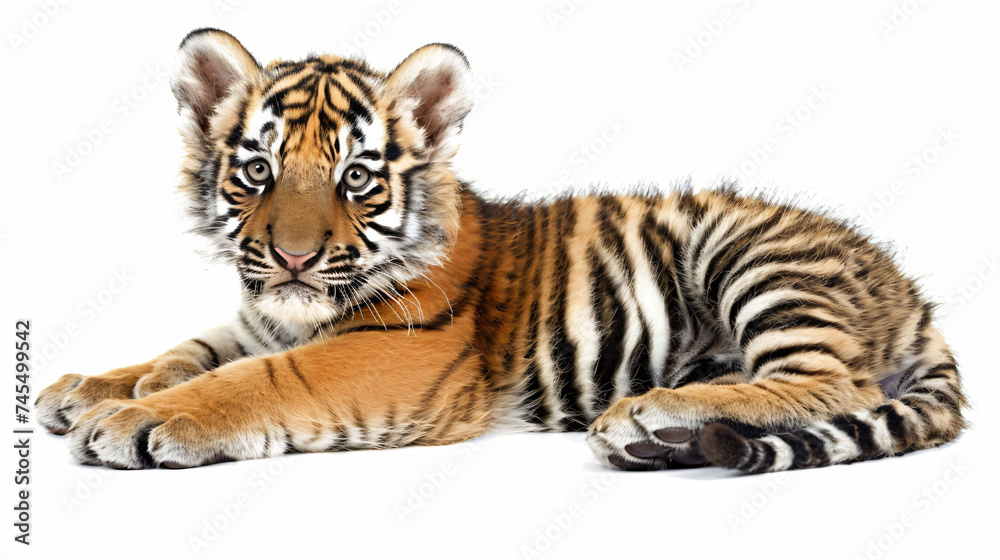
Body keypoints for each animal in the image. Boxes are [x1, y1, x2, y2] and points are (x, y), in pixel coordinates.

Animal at [36, 28, 966, 473]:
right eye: (257, 171)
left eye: (357, 178)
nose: (293, 260)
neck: (297, 310)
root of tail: (912, 296)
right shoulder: (260, 316)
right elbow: (192, 347)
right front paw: (93, 387)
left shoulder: (400, 355)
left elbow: (262, 378)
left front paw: (143, 417)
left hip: (755, 258)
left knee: (833, 382)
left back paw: (649, 414)